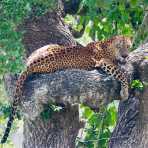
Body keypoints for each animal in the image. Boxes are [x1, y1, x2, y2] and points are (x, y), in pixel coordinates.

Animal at [0, 34, 132, 143]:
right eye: (120, 46)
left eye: (128, 46)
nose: (125, 55)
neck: (108, 46)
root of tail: (33, 62)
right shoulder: (104, 62)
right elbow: (121, 73)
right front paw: (125, 92)